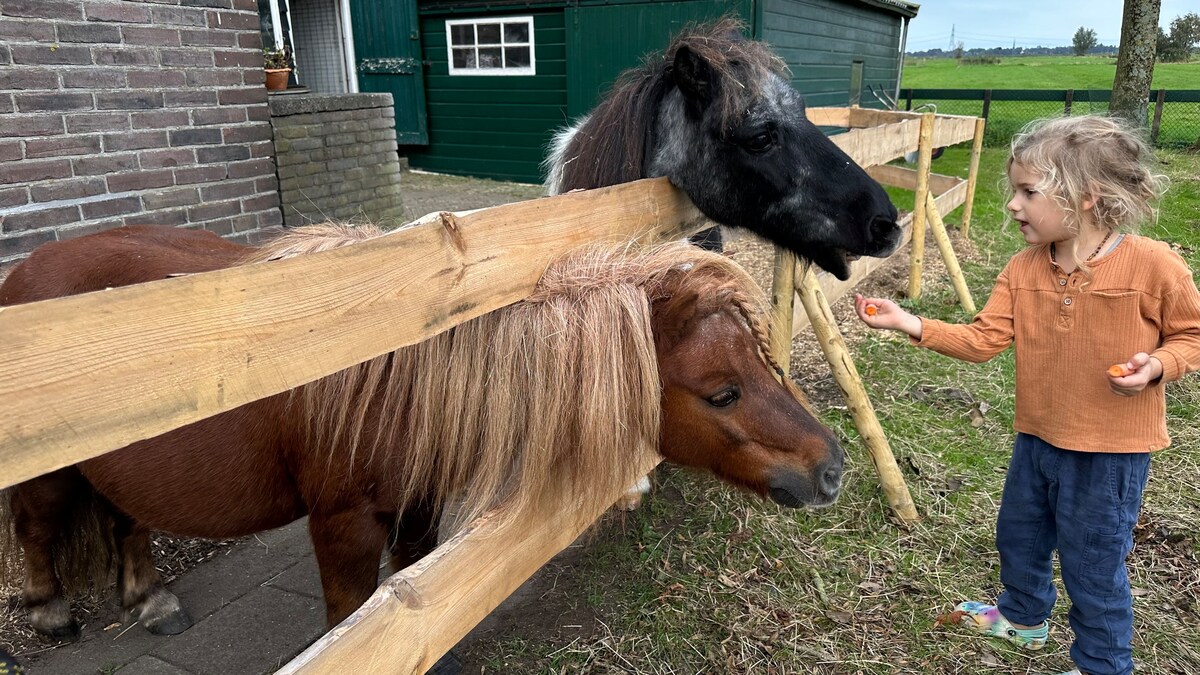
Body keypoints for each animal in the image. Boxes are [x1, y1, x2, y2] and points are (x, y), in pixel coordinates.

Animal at [0, 223, 844, 638]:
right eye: (723, 391)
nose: (832, 466)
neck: (403, 377)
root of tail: (25, 271)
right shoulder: (342, 524)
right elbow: (349, 616)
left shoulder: (416, 510)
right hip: (49, 475)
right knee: (37, 526)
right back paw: (49, 611)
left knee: (124, 519)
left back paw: (149, 599)